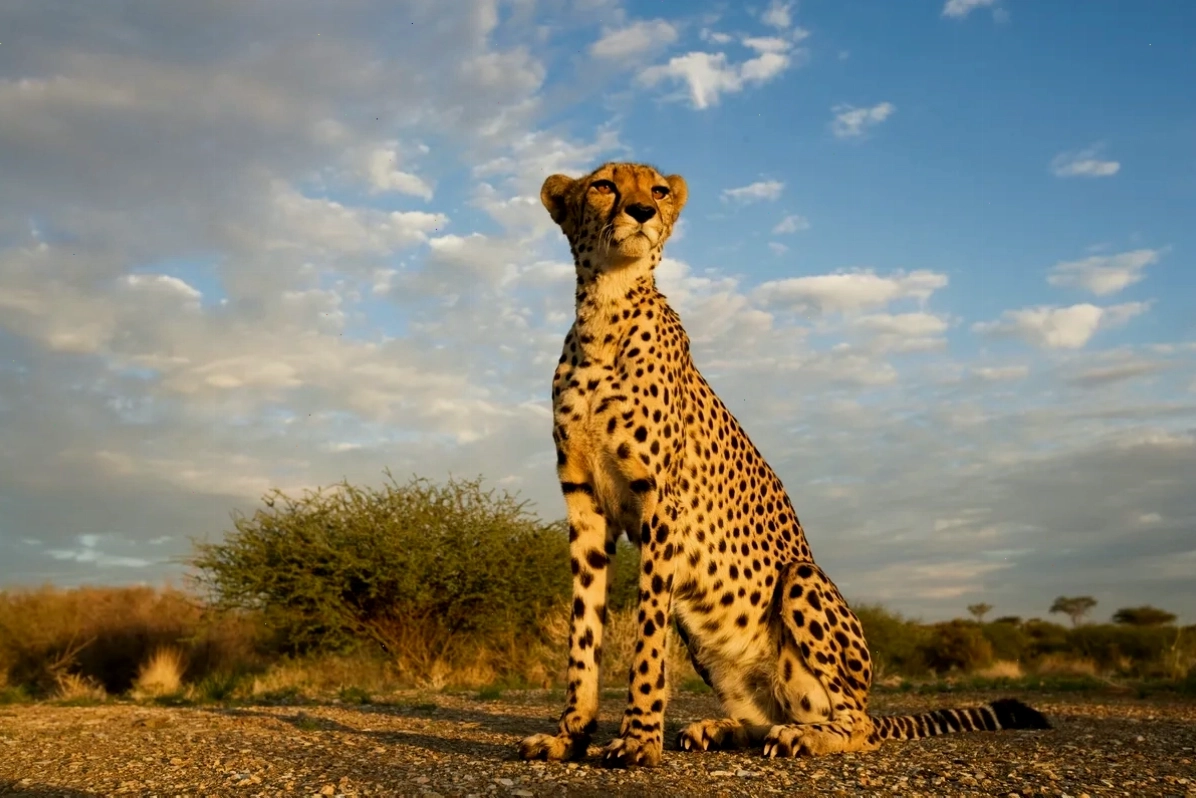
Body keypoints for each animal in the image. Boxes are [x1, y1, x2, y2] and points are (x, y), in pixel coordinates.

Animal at [517, 161, 1050, 768]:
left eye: (657, 189)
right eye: (604, 186)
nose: (643, 212)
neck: (605, 313)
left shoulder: (661, 509)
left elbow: (647, 642)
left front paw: (637, 741)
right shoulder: (585, 505)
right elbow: (583, 637)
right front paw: (570, 735)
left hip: (801, 580)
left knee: (854, 724)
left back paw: (809, 736)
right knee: (768, 715)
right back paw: (722, 728)